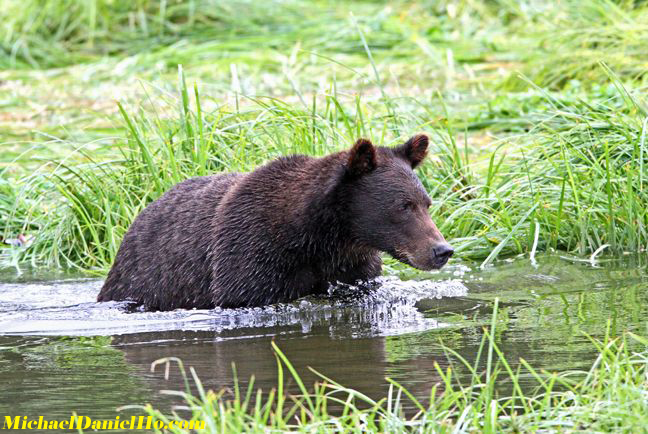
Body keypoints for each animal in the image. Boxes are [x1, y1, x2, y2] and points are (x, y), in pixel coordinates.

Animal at [97, 134, 450, 310]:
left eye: (426, 203)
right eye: (403, 206)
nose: (441, 250)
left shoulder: (353, 268)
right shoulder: (252, 259)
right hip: (146, 281)